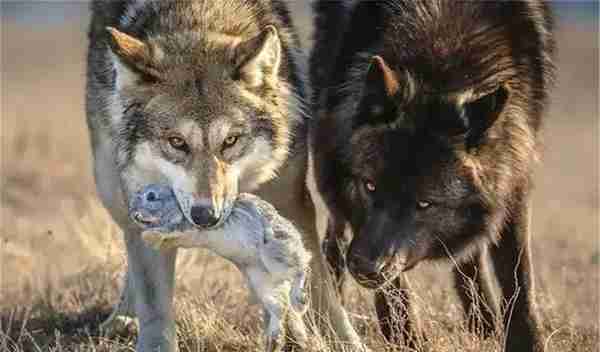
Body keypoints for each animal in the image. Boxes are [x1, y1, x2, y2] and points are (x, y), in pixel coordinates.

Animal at [131, 186, 310, 350]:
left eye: (151, 196)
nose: (134, 213)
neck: (177, 205)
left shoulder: (185, 224)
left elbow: (170, 228)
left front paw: (149, 235)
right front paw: (150, 237)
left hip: (274, 255)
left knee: (302, 266)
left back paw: (300, 300)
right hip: (260, 278)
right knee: (279, 307)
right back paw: (273, 337)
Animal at [312, 1, 556, 350]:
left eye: (425, 204)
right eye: (369, 186)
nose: (365, 268)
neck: (442, 50)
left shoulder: (515, 180)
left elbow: (517, 274)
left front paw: (525, 340)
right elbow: (394, 286)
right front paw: (404, 337)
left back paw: (483, 324)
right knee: (335, 235)